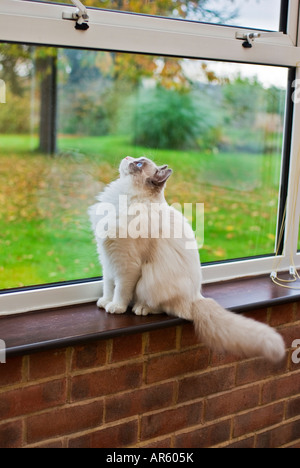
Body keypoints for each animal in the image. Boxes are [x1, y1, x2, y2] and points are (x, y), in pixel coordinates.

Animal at [88, 155, 284, 364]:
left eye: (139, 163)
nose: (126, 157)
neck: (124, 199)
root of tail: (196, 298)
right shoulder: (108, 261)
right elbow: (108, 287)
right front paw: (104, 302)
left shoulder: (126, 264)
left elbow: (121, 292)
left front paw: (115, 307)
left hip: (148, 281)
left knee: (162, 307)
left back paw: (141, 308)